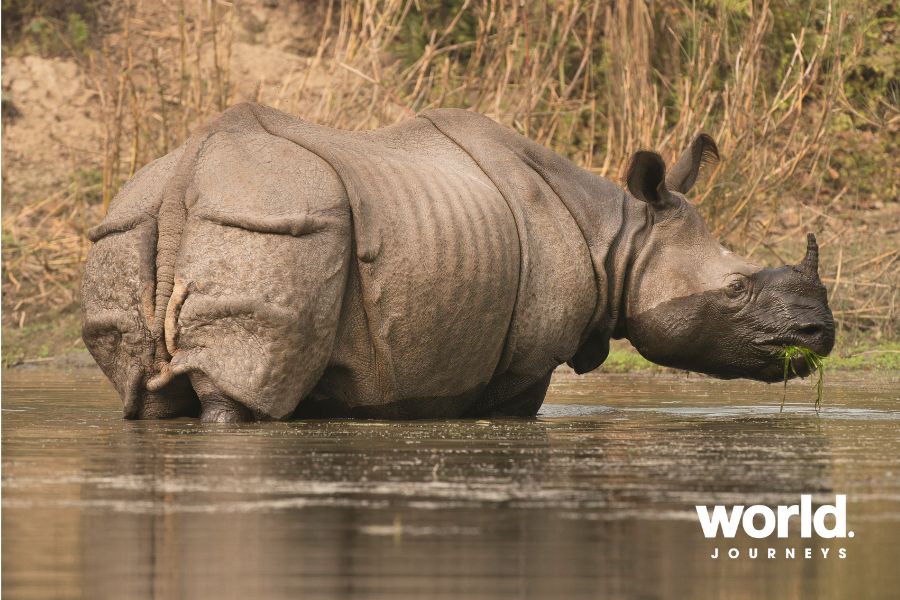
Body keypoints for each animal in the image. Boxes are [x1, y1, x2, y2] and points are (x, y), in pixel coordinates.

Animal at [81, 103, 835, 422]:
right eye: (736, 288)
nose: (820, 335)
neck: (618, 235)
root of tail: (185, 179)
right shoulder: (524, 360)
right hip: (275, 219)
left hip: (132, 222)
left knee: (146, 393)